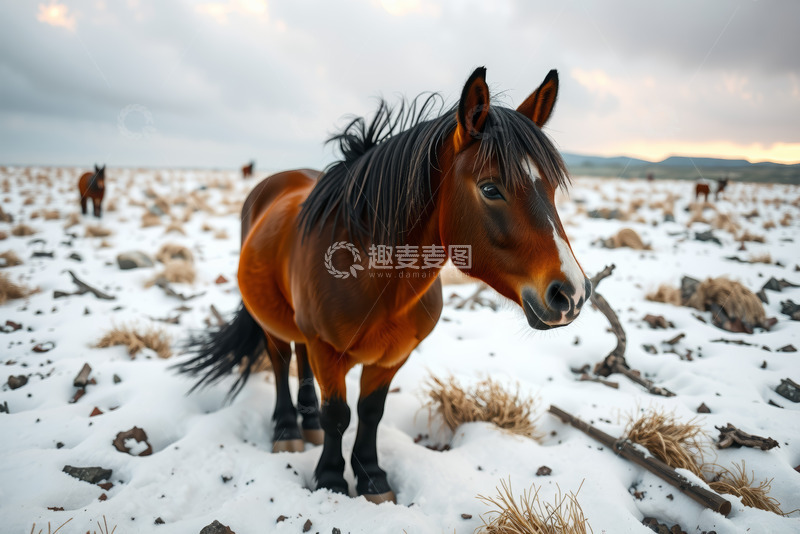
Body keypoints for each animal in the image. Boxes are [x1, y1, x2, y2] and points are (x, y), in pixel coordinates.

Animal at [178, 67, 591, 504]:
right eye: (491, 188)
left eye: (551, 188)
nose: (572, 294)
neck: (372, 278)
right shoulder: (328, 351)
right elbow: (338, 414)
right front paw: (331, 479)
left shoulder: (393, 356)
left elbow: (370, 413)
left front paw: (373, 478)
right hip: (272, 322)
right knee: (280, 360)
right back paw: (288, 429)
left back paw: (307, 425)